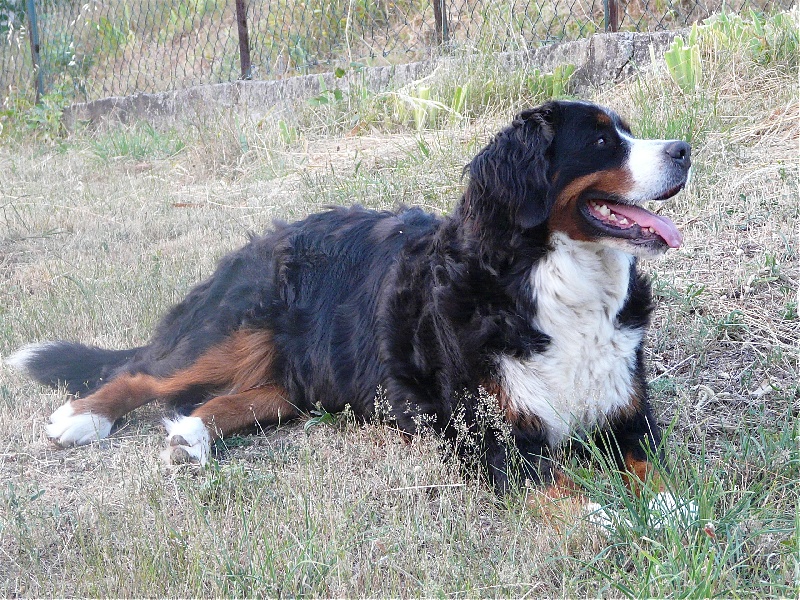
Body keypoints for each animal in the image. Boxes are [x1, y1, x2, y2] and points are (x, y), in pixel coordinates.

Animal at [7, 101, 692, 500]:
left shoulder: (629, 418)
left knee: (241, 398)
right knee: (139, 372)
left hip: (297, 378)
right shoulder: (494, 443)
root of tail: (272, 234)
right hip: (232, 328)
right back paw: (80, 420)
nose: (685, 150)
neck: (555, 285)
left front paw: (674, 514)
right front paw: (612, 526)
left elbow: (658, 477)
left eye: (629, 133)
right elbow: (568, 495)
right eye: (602, 143)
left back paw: (190, 439)